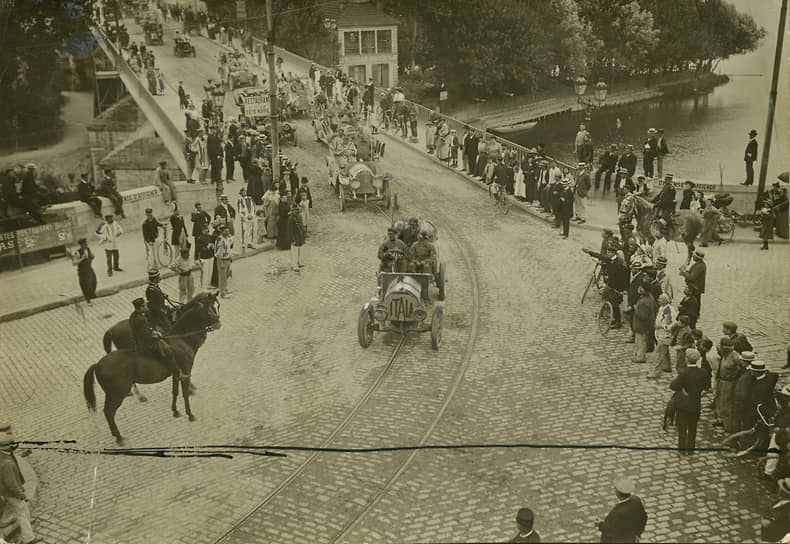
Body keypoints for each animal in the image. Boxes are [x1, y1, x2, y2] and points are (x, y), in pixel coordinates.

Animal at [84, 294, 221, 442]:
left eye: (216, 307)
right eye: (209, 311)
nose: (219, 323)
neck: (180, 340)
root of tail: (98, 364)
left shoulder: (175, 374)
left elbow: (175, 392)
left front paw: (175, 411)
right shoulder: (185, 372)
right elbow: (184, 393)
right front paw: (189, 414)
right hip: (116, 394)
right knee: (109, 412)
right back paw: (119, 436)